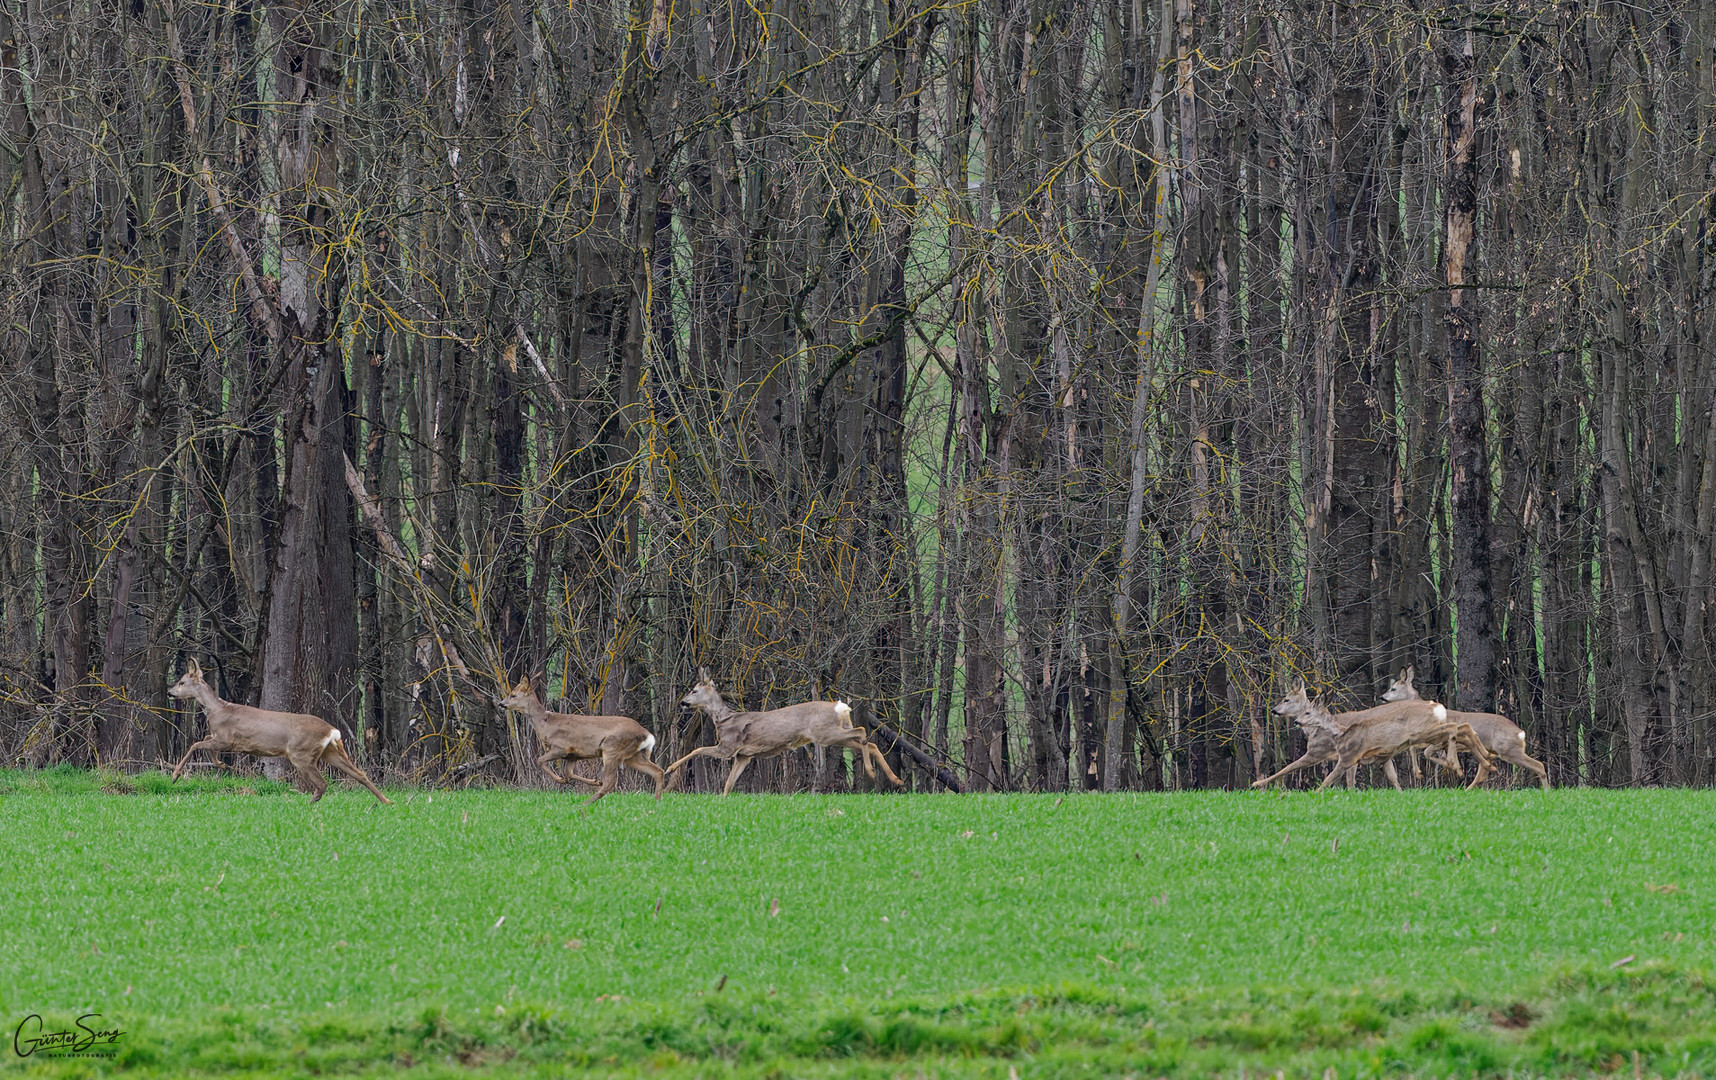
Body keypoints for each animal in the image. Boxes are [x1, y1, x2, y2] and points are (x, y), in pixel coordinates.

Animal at [165, 655, 391, 800]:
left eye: (181, 682)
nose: (169, 692)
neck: (216, 710)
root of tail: (331, 730)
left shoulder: (227, 738)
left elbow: (196, 744)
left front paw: (175, 776)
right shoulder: (221, 739)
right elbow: (205, 743)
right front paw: (220, 764)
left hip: (301, 753)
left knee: (322, 784)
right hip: (330, 751)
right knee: (360, 774)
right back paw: (386, 802)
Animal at [497, 673, 662, 800]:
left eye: (513, 695)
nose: (500, 703)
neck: (545, 723)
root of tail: (647, 734)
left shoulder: (561, 747)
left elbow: (540, 760)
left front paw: (560, 780)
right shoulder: (573, 755)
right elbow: (569, 773)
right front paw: (593, 781)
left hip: (612, 747)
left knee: (611, 782)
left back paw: (589, 802)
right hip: (632, 755)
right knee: (658, 771)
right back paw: (657, 802)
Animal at [665, 666, 912, 793]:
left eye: (694, 690)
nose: (683, 703)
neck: (723, 719)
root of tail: (840, 707)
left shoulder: (728, 746)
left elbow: (697, 750)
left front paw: (669, 768)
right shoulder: (744, 755)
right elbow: (728, 783)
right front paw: (723, 800)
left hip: (825, 733)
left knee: (862, 732)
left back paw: (872, 772)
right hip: (834, 734)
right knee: (869, 743)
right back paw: (896, 780)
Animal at [1379, 662, 1558, 786]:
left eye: (1393, 689)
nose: (1382, 697)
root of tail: (1520, 732)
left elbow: (1427, 752)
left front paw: (1453, 769)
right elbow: (1417, 749)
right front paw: (1422, 773)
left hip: (1509, 750)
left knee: (1539, 765)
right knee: (1483, 774)